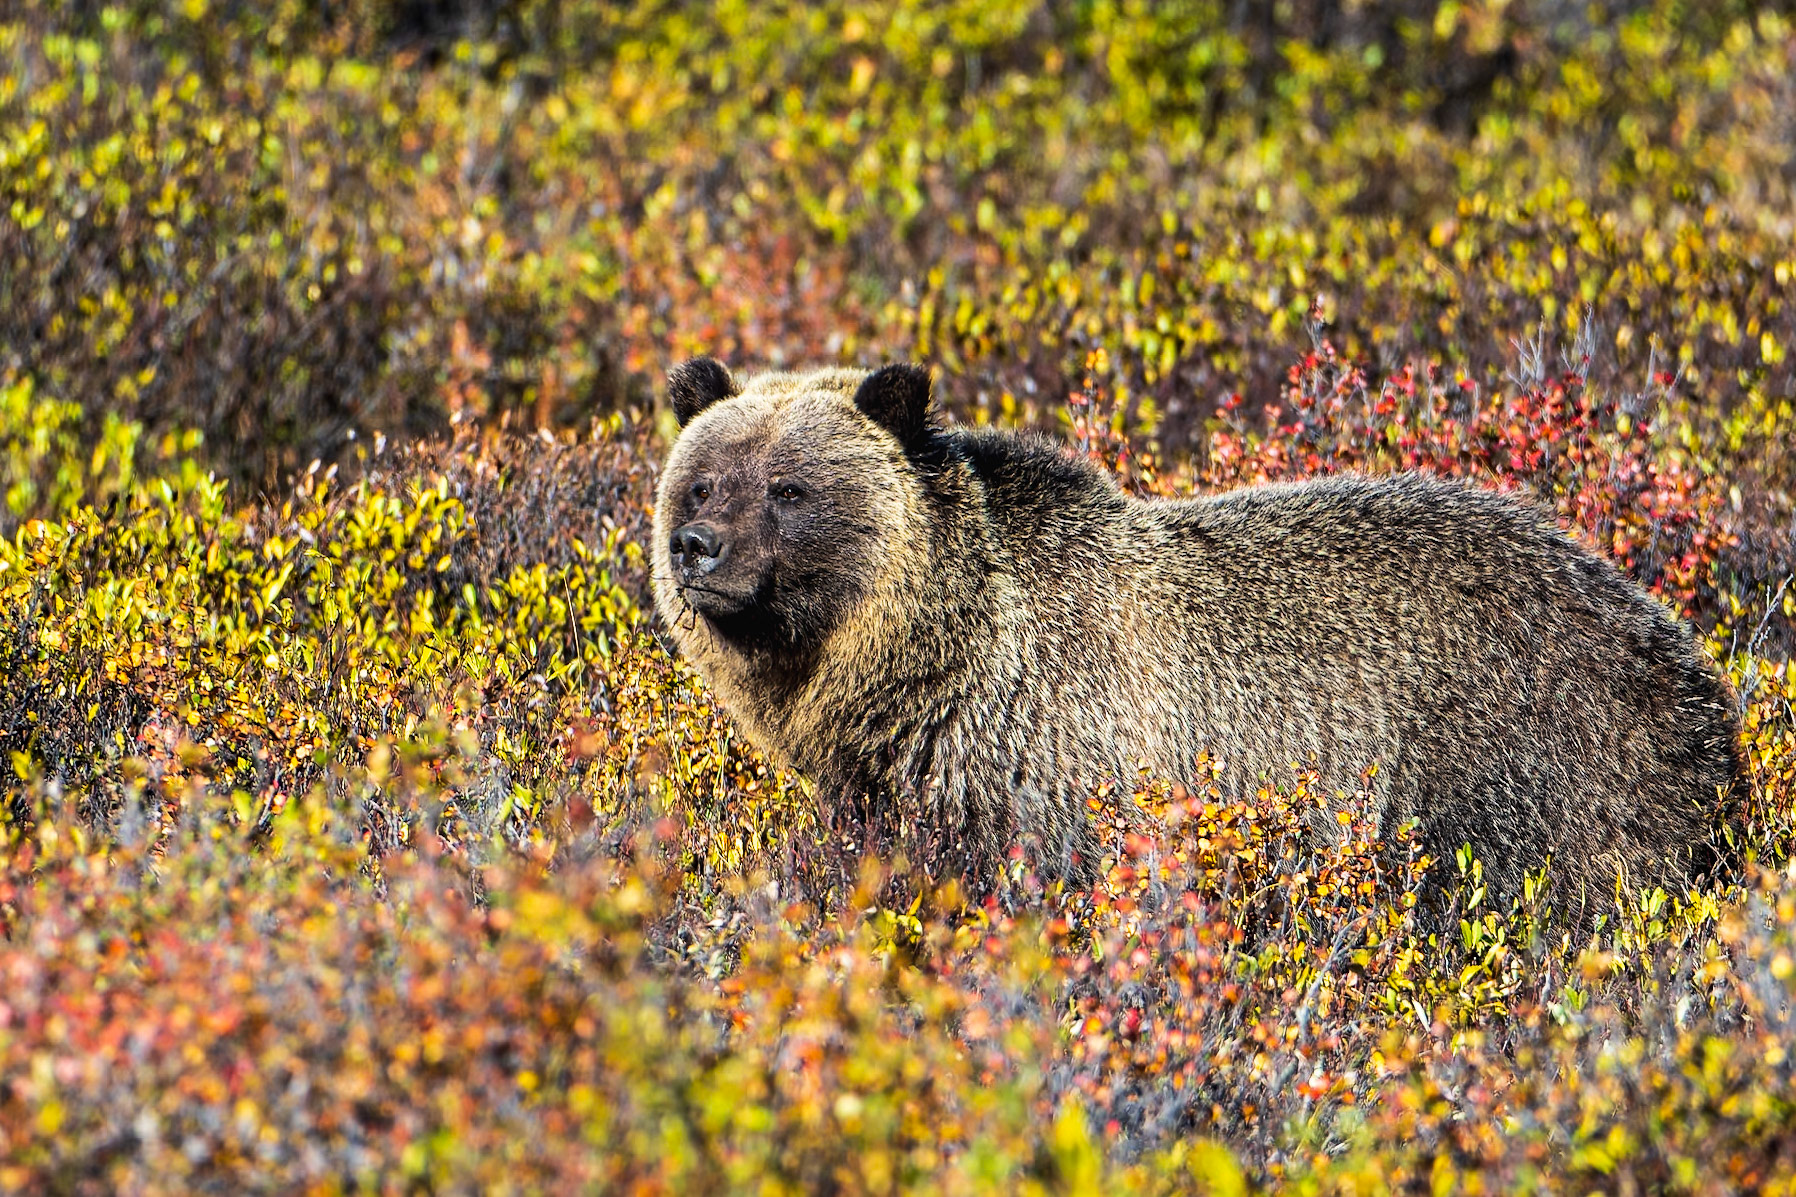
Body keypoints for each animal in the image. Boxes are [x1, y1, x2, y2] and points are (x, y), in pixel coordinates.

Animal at [650, 357, 1745, 921]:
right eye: (700, 479)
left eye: (788, 488)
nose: (695, 548)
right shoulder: (891, 785)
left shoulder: (1053, 757)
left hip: (1532, 771)